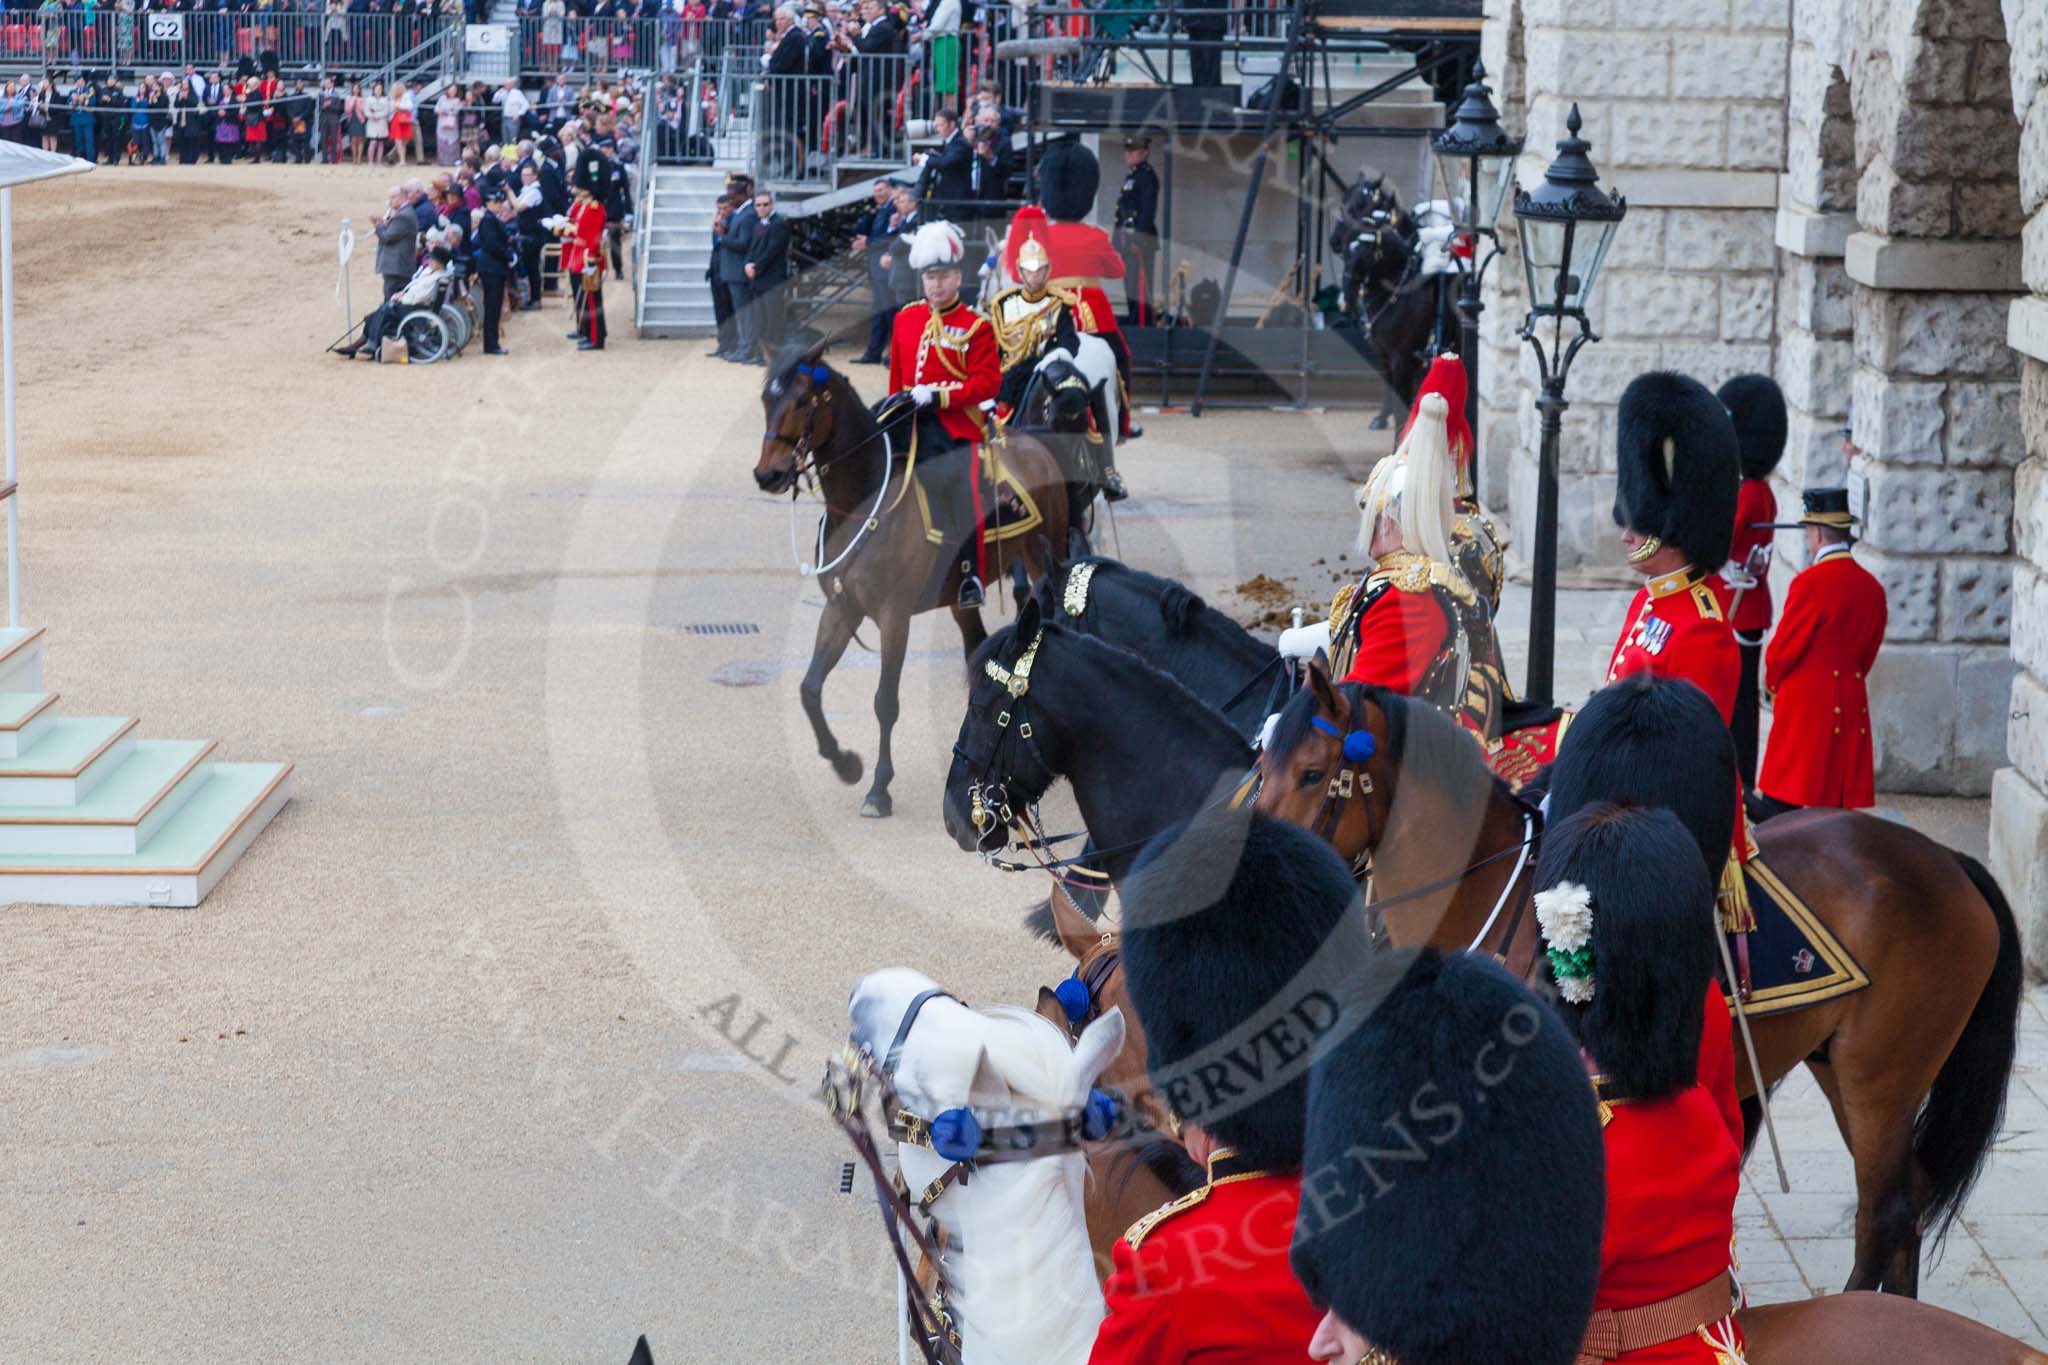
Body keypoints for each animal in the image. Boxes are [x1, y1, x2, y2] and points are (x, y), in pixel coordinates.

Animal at [753, 339, 1073, 822]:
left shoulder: (894, 616)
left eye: (804, 400)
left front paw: (878, 789)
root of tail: (1034, 442)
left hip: (1044, 555)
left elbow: (885, 702)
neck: (860, 501)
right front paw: (845, 764)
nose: (768, 475)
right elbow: (809, 689)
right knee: (974, 651)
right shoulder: (842, 608)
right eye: (765, 400)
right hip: (963, 596)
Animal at [1253, 671, 2023, 1301]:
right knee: (1909, 1196)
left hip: (1880, 1076)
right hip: (1842, 1065)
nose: (1263, 861)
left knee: (1884, 1209)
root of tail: (1948, 861)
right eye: (1263, 764)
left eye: (1313, 772)